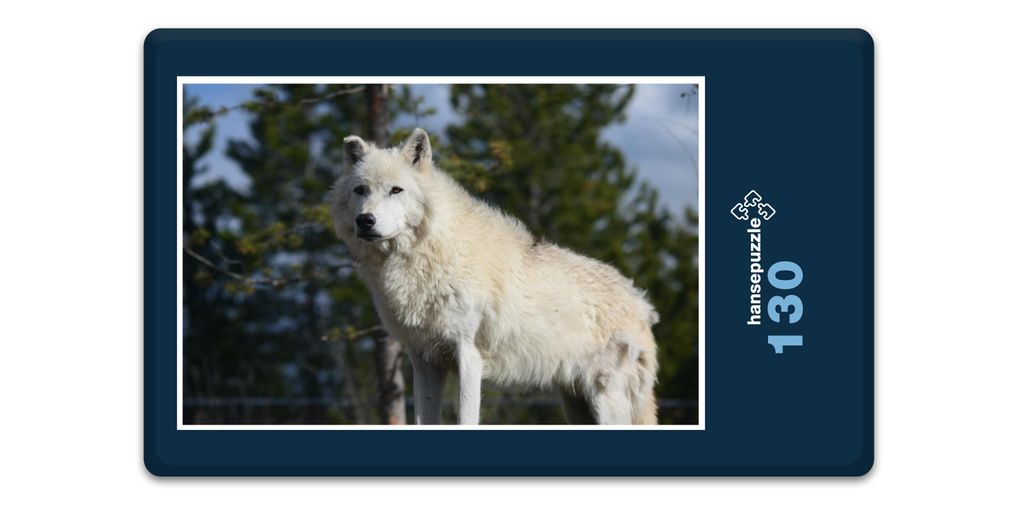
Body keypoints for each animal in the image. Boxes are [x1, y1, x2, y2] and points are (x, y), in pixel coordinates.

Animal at [328, 128, 659, 425]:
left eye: (396, 190)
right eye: (360, 190)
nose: (365, 220)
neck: (427, 253)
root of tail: (641, 303)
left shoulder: (468, 356)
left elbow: (465, 419)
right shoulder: (424, 361)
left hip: (605, 400)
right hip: (575, 404)